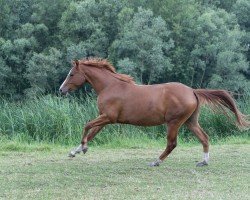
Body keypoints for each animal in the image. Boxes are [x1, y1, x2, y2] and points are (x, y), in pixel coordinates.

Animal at [59, 58, 249, 167]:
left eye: (71, 74)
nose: (61, 90)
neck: (110, 86)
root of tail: (192, 91)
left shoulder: (108, 117)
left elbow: (86, 126)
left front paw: (82, 148)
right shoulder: (105, 119)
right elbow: (92, 133)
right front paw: (75, 151)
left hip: (174, 122)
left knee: (172, 144)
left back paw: (156, 161)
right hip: (190, 121)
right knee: (204, 138)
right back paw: (203, 162)